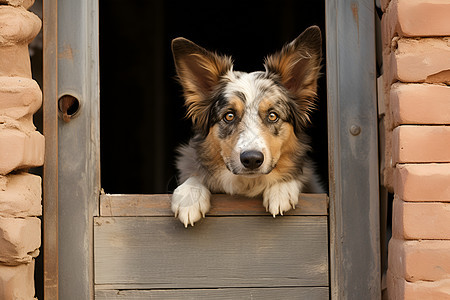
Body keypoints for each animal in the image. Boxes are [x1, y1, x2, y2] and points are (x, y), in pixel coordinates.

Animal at [171, 26, 324, 227]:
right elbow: (196, 175)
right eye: (229, 116)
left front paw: (281, 188)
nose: (251, 159)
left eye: (273, 116)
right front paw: (189, 196)